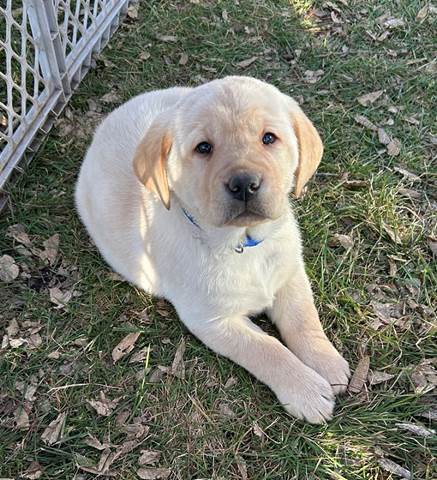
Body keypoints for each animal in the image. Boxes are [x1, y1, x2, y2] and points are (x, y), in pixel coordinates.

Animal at [74, 76, 348, 424]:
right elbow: (266, 348)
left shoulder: (289, 274)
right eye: (204, 147)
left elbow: (303, 319)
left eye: (269, 138)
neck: (242, 245)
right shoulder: (211, 320)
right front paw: (306, 390)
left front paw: (326, 361)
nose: (244, 184)